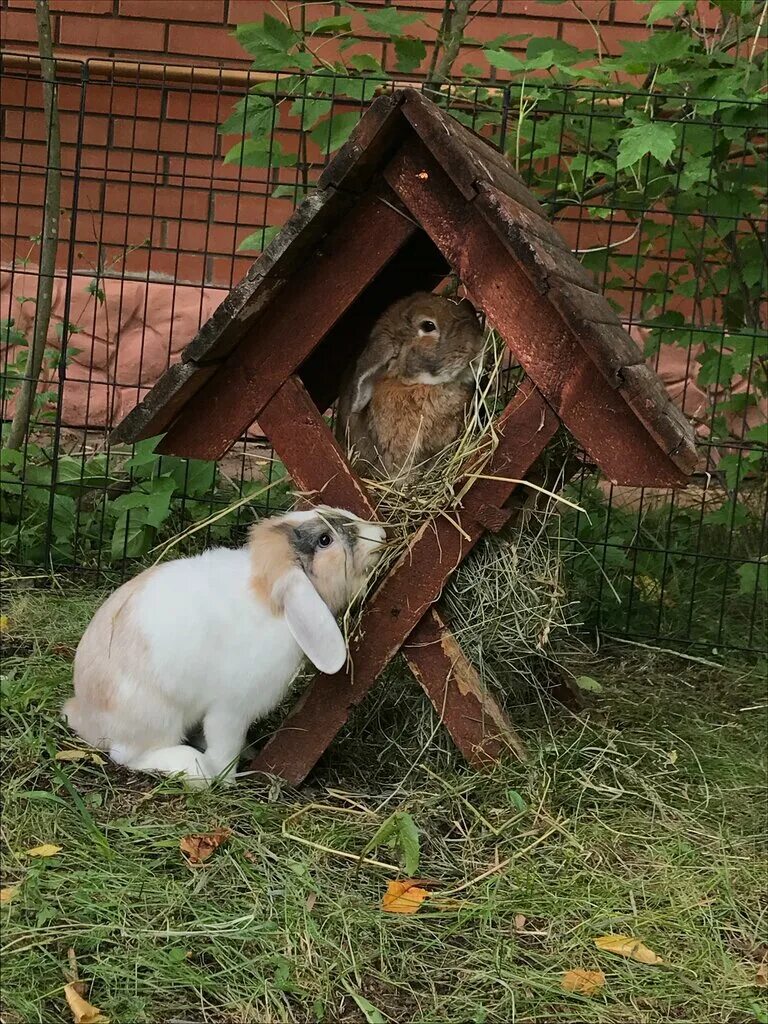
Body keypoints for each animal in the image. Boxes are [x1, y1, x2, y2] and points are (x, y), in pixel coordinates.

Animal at [61, 505, 385, 782]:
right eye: (325, 540)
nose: (382, 535)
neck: (271, 599)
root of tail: (84, 715)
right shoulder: (230, 710)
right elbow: (225, 747)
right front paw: (226, 778)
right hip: (157, 717)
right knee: (129, 756)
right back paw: (196, 770)